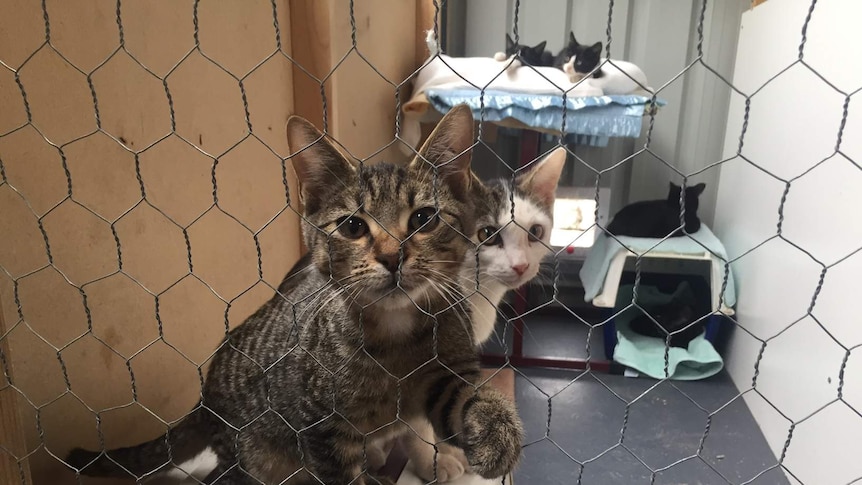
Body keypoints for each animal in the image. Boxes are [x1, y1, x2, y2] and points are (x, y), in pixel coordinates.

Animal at [64, 106, 524, 484]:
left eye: (424, 219)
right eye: (353, 226)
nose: (393, 256)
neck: (396, 337)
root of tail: (204, 398)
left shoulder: (446, 373)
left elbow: (467, 398)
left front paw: (497, 431)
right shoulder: (321, 431)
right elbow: (343, 477)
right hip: (254, 456)